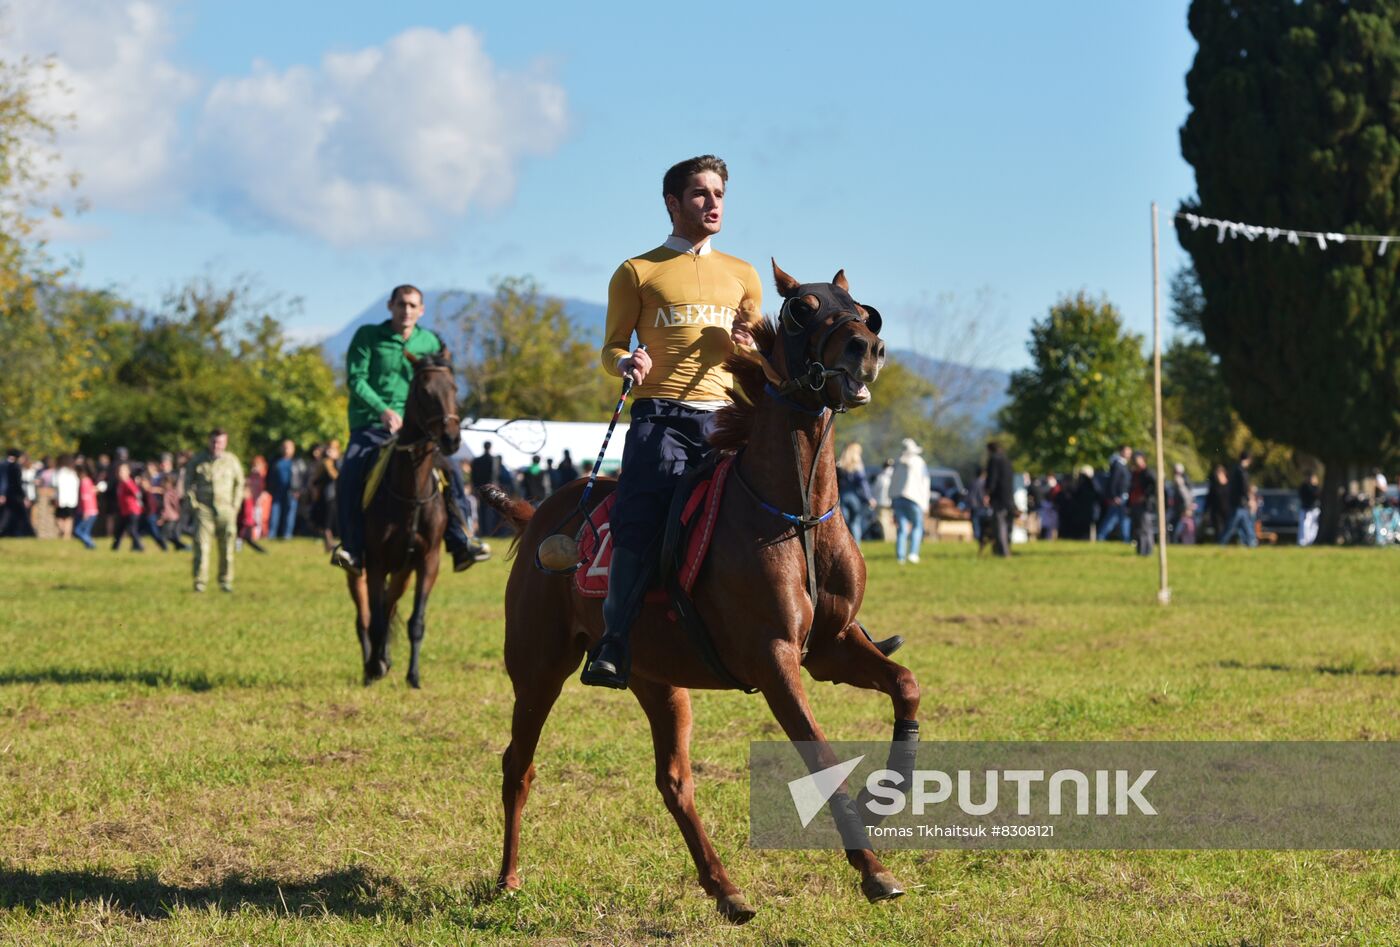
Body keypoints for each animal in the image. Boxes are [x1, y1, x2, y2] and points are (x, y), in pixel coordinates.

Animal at [348, 353, 462, 689]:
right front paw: (374, 668)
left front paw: (413, 676)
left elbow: (415, 621)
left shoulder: (428, 561)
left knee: (390, 605)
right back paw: (372, 664)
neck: (410, 494)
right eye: (423, 391)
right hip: (357, 571)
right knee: (366, 616)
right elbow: (375, 620)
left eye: (454, 387)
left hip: (403, 572)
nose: (451, 439)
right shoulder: (375, 563)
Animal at [481, 261, 918, 930]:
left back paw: (726, 888)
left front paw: (893, 789)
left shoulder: (831, 648)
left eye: (862, 309)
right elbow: (821, 756)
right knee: (518, 766)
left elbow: (905, 685)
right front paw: (872, 870)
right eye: (802, 308)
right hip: (538, 670)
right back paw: (507, 878)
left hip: (657, 680)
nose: (865, 348)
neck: (795, 514)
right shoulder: (774, 660)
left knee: (674, 782)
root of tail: (540, 517)